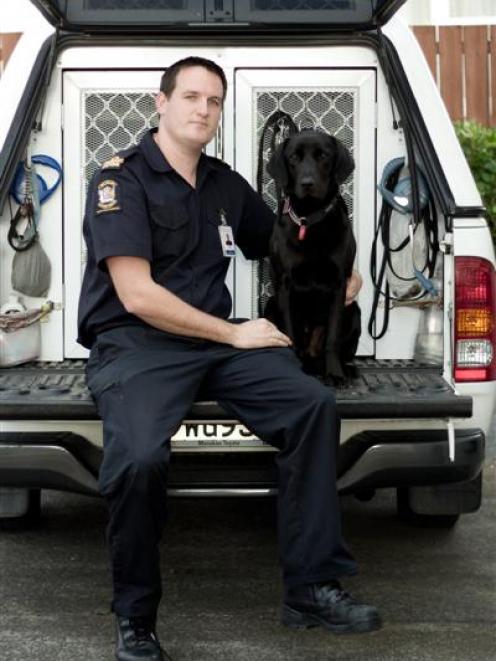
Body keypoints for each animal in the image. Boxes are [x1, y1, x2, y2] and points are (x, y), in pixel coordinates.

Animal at [268, 128, 360, 382]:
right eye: (294, 158)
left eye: (323, 156)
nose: (307, 183)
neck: (309, 220)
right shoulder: (285, 285)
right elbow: (291, 334)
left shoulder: (339, 285)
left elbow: (332, 337)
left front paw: (335, 373)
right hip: (270, 305)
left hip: (354, 310)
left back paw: (346, 368)